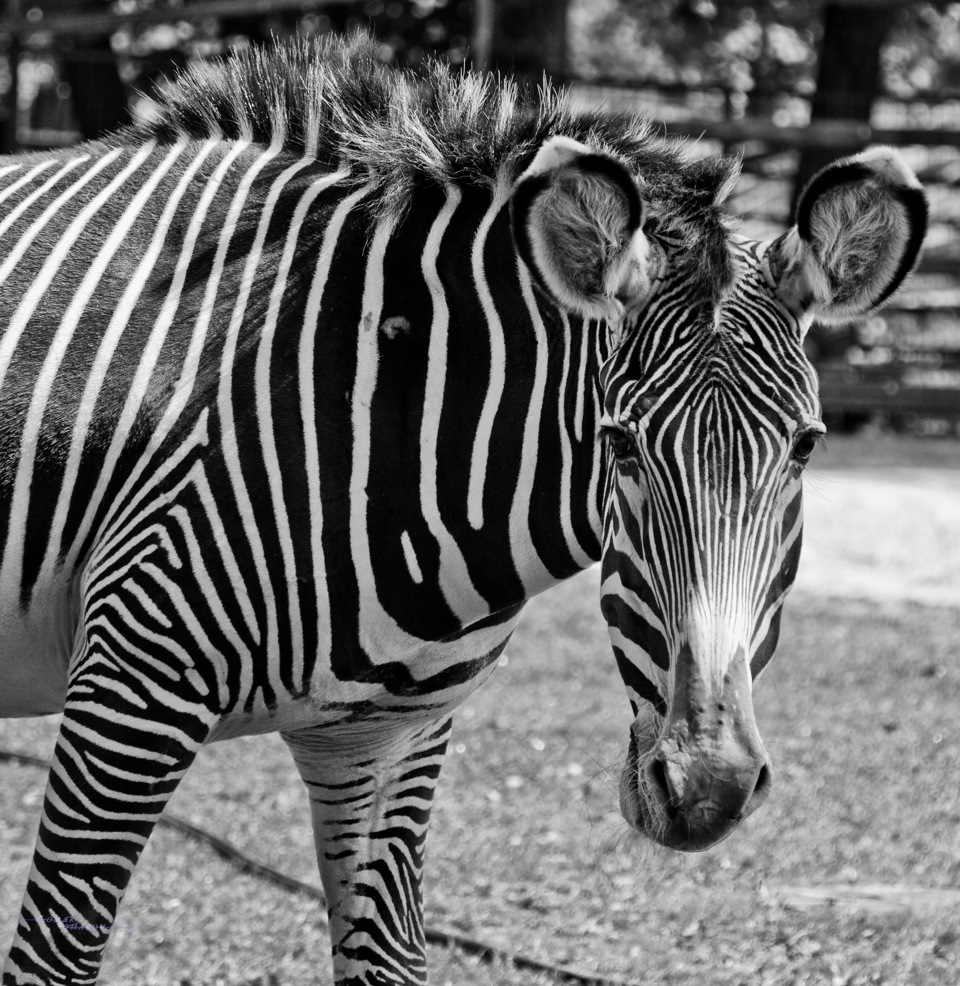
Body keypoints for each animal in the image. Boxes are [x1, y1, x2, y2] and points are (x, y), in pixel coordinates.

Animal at [0, 32, 928, 984]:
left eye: (806, 447)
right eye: (621, 444)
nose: (707, 789)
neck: (384, 415)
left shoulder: (388, 738)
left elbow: (389, 959)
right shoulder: (130, 693)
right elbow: (52, 952)